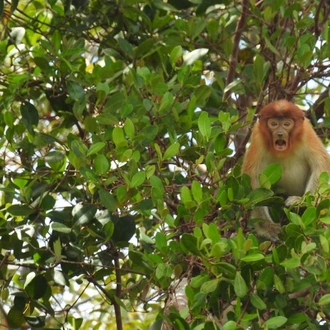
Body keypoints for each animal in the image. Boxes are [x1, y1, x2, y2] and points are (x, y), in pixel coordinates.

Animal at [241, 99, 330, 238]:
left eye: (287, 124)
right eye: (274, 123)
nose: (280, 134)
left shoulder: (306, 132)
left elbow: (321, 163)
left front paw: (300, 201)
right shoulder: (257, 135)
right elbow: (252, 176)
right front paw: (268, 227)